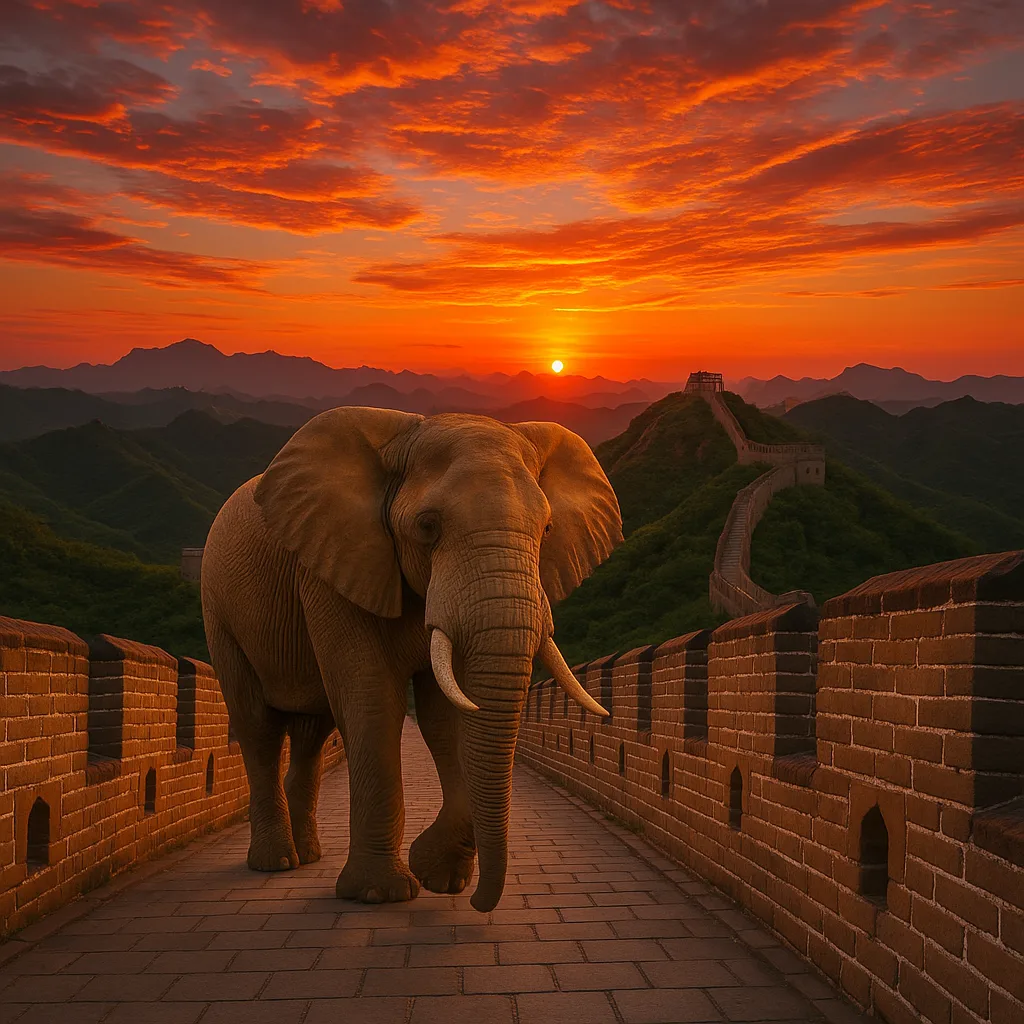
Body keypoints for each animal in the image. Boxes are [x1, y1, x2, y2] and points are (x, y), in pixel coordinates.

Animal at [200, 407, 622, 912]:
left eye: (547, 530)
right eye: (427, 526)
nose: (480, 903)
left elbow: (449, 715)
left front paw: (440, 878)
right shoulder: (333, 565)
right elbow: (372, 700)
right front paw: (380, 893)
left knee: (311, 732)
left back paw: (307, 855)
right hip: (219, 612)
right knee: (258, 727)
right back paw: (276, 862)